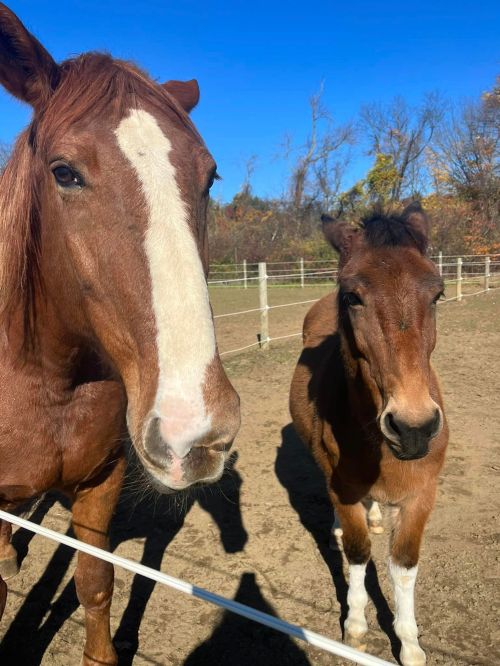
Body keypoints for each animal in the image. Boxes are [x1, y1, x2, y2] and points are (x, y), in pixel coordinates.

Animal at [0, 4, 240, 664]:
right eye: (64, 173)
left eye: (210, 177)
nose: (196, 430)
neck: (47, 382)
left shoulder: (99, 484)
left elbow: (96, 582)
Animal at [289, 203, 448, 666]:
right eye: (352, 296)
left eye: (438, 294)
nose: (413, 427)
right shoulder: (342, 488)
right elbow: (359, 555)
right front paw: (356, 624)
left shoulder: (421, 495)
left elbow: (404, 566)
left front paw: (410, 643)